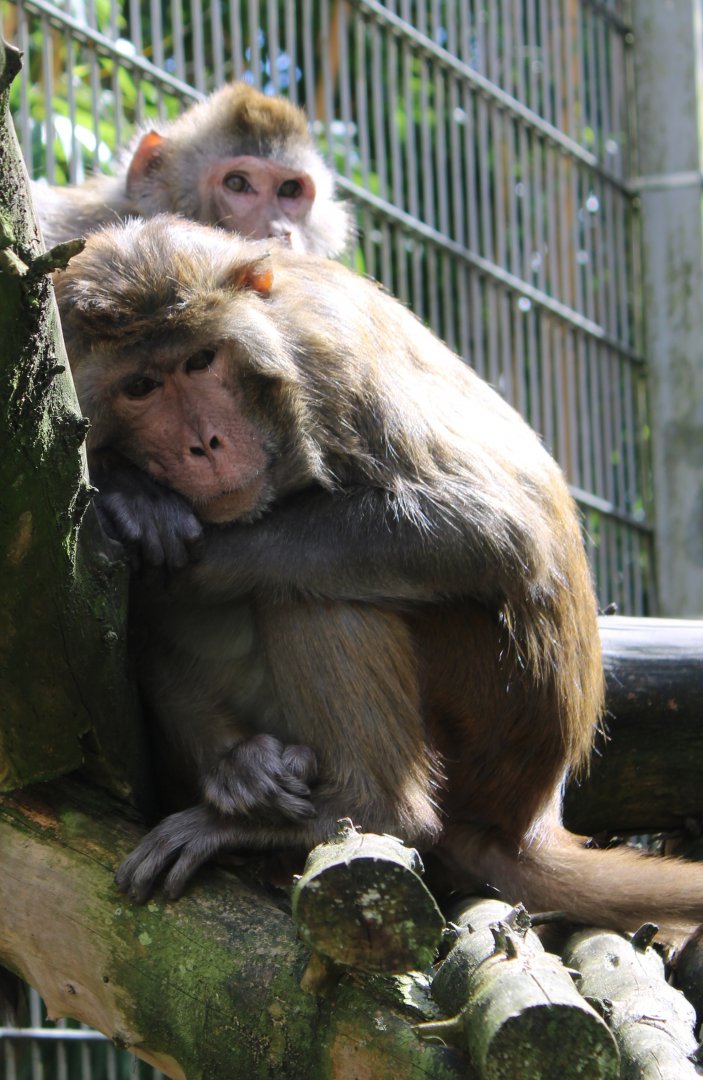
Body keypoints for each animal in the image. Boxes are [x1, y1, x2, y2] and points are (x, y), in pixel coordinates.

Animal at [53, 216, 703, 936]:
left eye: (201, 362)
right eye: (140, 387)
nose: (204, 444)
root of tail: (527, 818)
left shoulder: (330, 358)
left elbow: (495, 529)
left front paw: (159, 537)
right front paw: (131, 491)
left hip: (489, 707)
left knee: (307, 587)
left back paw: (365, 812)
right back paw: (244, 772)